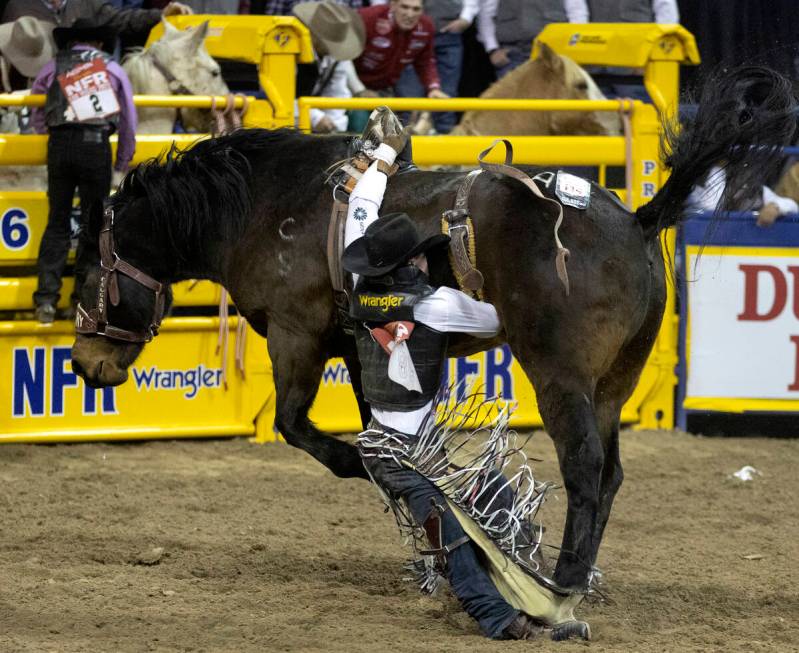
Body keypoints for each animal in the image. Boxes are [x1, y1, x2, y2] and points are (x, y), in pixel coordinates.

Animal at [69, 66, 792, 596]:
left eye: (85, 276)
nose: (81, 365)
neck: (264, 206)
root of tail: (638, 217)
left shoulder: (296, 335)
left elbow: (298, 426)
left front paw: (368, 474)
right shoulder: (360, 349)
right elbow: (388, 442)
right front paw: (429, 532)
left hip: (560, 373)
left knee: (585, 467)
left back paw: (559, 583)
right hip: (616, 380)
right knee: (610, 473)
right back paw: (578, 574)